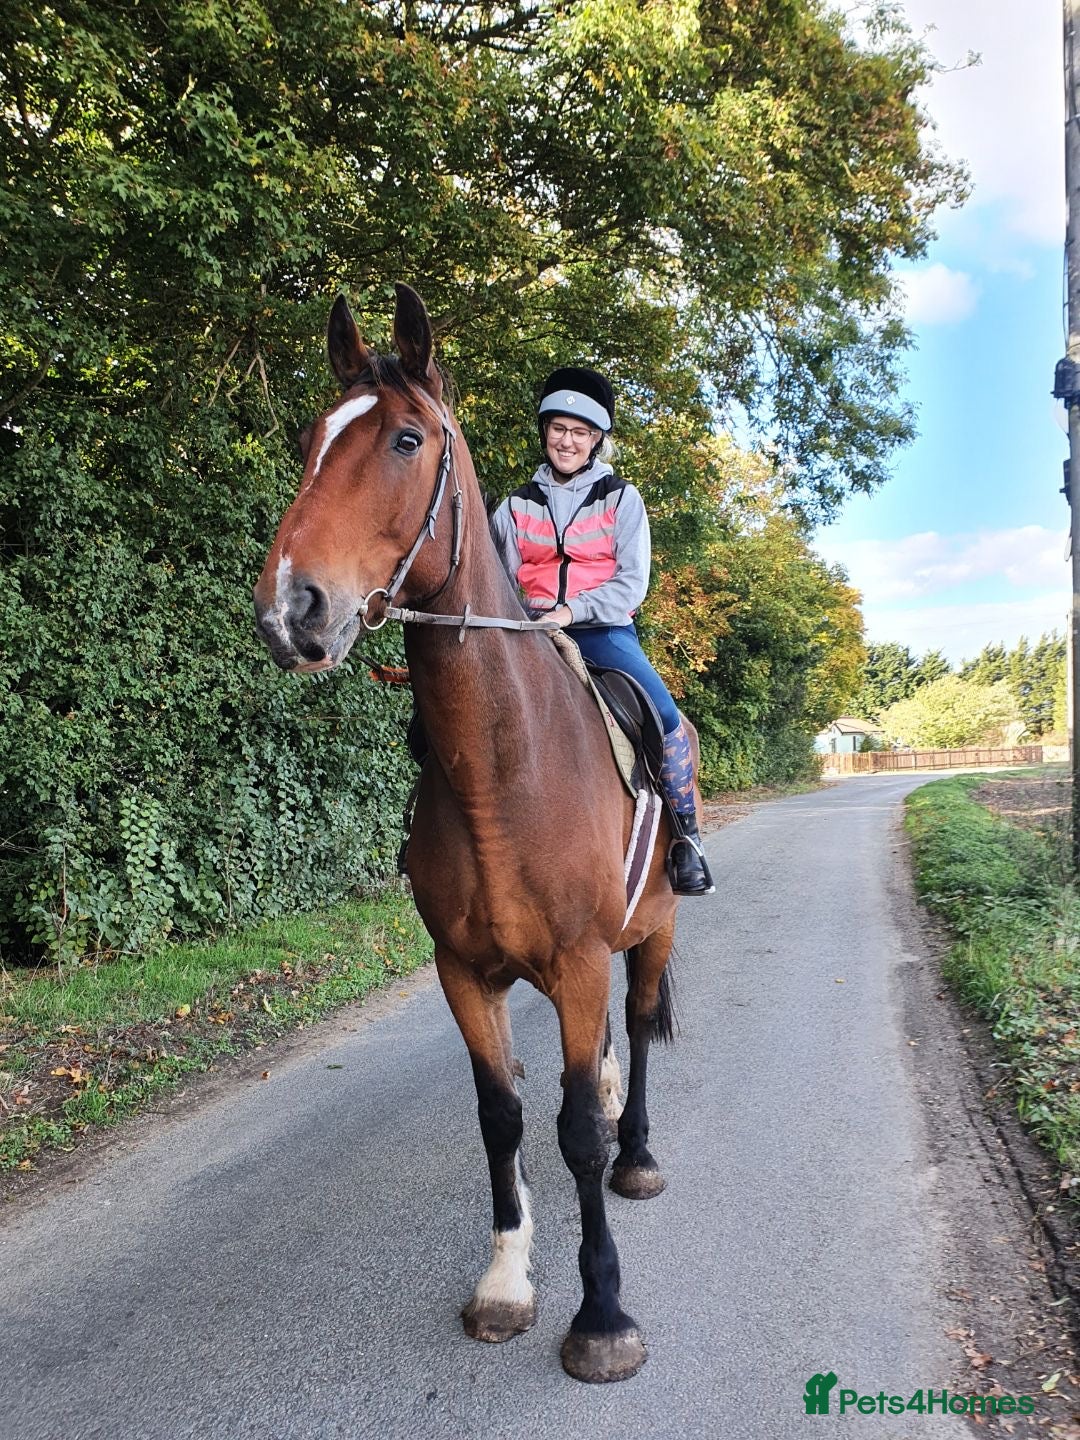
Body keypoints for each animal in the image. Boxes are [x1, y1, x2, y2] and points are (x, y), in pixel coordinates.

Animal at [253, 284, 701, 1384]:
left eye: (407, 439)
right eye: (308, 439)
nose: (291, 609)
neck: (507, 775)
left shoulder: (579, 962)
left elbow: (575, 1130)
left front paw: (601, 1313)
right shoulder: (463, 970)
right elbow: (502, 1116)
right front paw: (505, 1281)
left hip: (654, 929)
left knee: (640, 1033)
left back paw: (639, 1150)